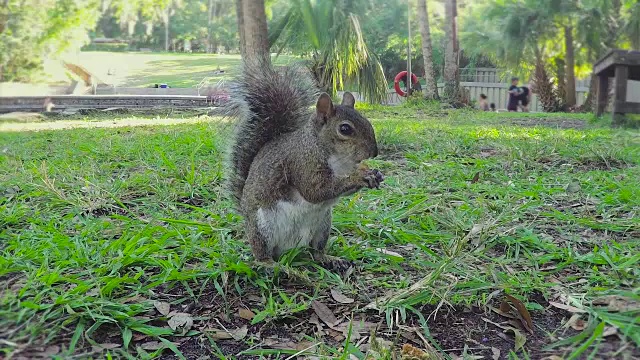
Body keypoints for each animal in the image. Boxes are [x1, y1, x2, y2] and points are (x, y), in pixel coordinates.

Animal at [224, 62, 384, 270]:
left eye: (366, 121)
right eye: (345, 129)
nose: (374, 152)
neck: (339, 160)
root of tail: (289, 249)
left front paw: (371, 173)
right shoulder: (302, 163)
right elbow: (315, 191)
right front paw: (360, 177)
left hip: (323, 227)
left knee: (316, 251)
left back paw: (329, 258)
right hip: (261, 228)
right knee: (261, 253)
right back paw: (271, 264)